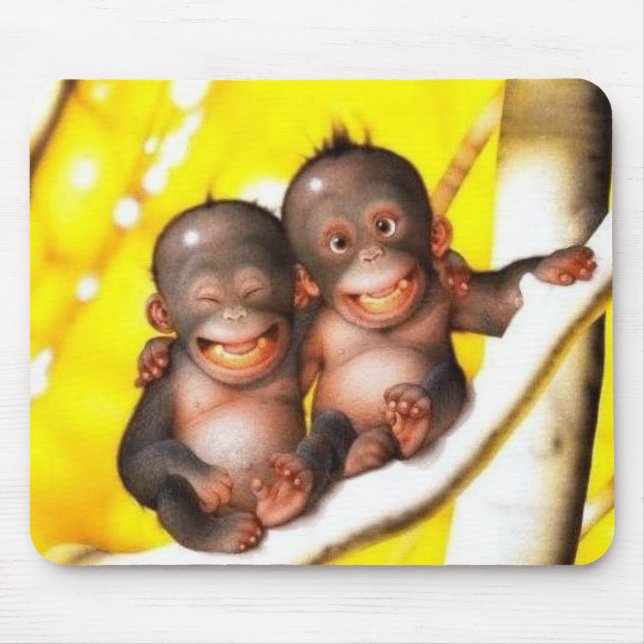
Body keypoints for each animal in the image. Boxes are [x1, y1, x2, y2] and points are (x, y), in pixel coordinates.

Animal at [118, 200, 357, 553]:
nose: (234, 313)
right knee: (170, 488)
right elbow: (135, 458)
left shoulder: (299, 335)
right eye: (208, 298)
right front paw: (204, 477)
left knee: (332, 422)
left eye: (253, 290)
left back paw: (290, 492)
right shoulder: (166, 383)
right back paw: (223, 534)